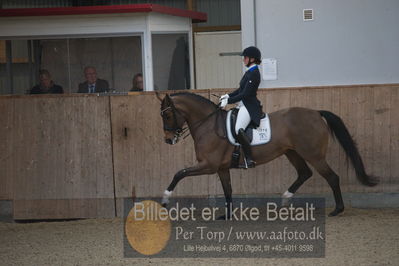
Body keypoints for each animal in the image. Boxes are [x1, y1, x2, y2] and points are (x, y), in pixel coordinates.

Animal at [156, 91, 378, 216]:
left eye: (167, 115)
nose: (168, 140)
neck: (208, 124)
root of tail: (316, 113)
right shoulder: (221, 168)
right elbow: (227, 190)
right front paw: (227, 214)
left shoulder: (208, 165)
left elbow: (179, 173)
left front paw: (165, 199)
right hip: (292, 153)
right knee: (305, 173)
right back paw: (285, 199)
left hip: (313, 155)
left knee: (332, 177)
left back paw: (337, 210)